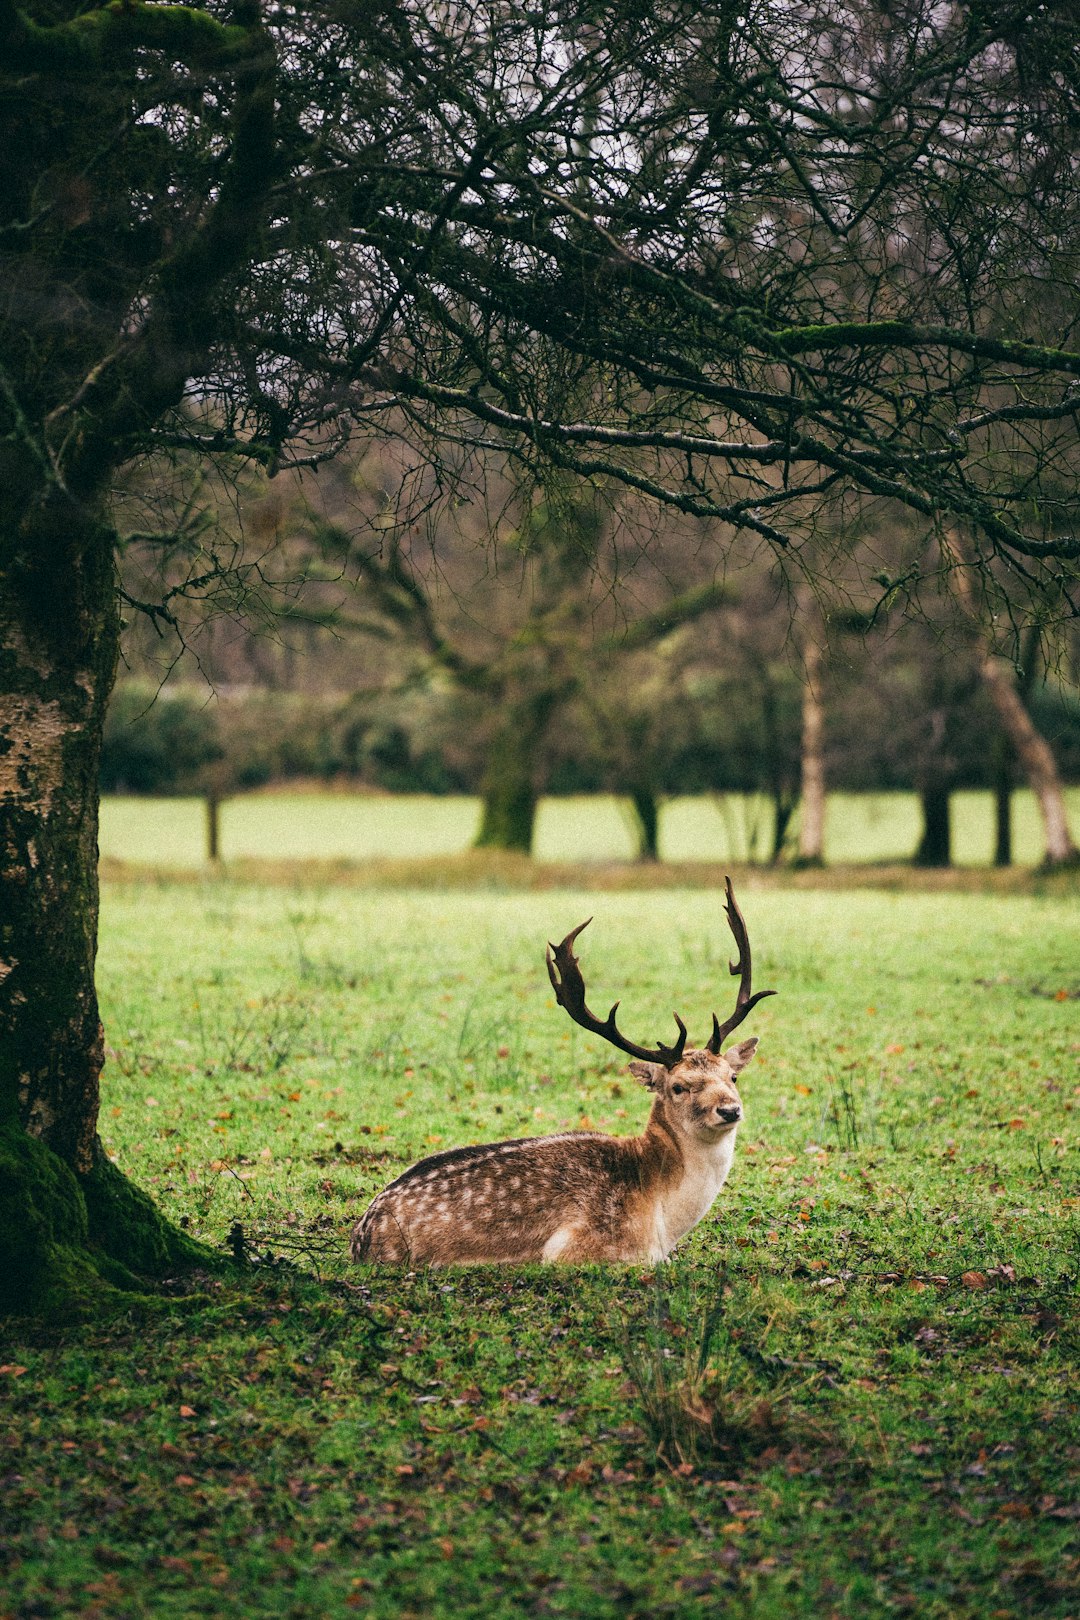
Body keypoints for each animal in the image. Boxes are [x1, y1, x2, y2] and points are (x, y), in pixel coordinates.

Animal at [351, 887, 773, 1263]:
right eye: (678, 1087)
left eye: (732, 1076)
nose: (729, 1110)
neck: (664, 1219)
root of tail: (362, 1234)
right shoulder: (581, 1248)